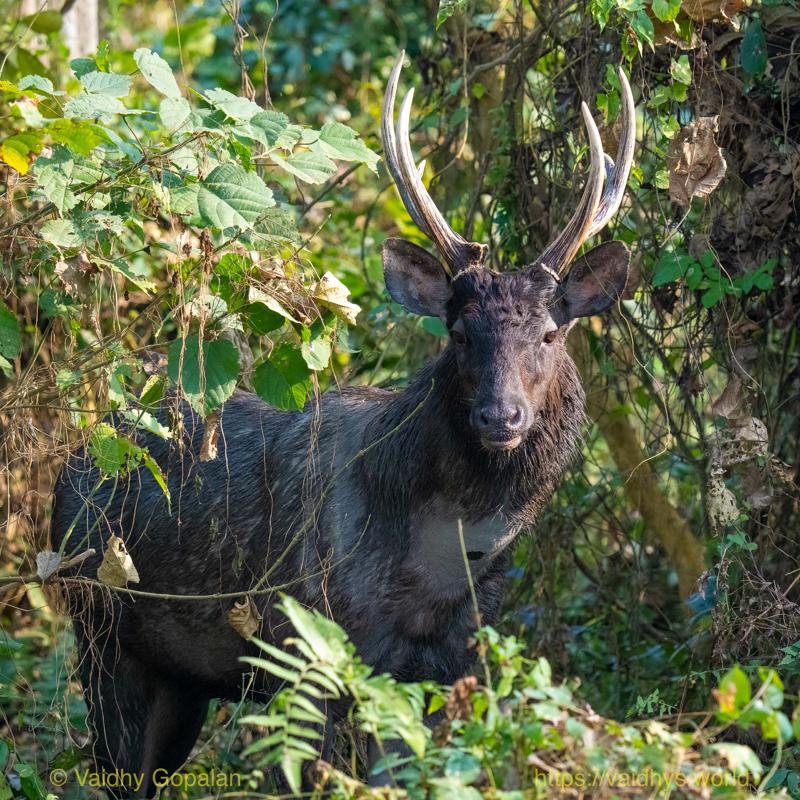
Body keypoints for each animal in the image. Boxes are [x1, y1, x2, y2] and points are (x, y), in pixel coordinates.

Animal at [51, 52, 636, 797]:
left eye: (552, 334)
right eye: (458, 331)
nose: (500, 415)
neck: (441, 566)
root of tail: (70, 465)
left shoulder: (450, 665)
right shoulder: (312, 643)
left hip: (181, 678)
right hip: (97, 631)